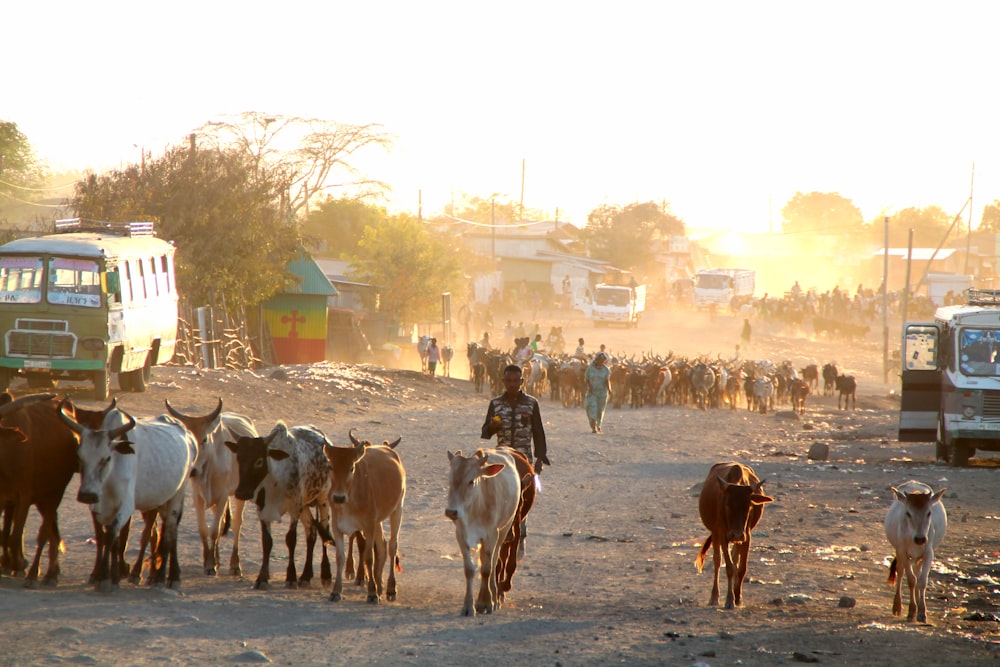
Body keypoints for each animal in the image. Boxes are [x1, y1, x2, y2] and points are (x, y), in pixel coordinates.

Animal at [61, 404, 199, 592]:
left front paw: (104, 579)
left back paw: (166, 578)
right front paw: (112, 577)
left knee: (170, 533)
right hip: (162, 500)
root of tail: (188, 435)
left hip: (177, 496)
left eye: (107, 458)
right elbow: (110, 540)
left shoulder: (125, 507)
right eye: (80, 457)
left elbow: (111, 534)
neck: (109, 477)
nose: (87, 495)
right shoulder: (99, 508)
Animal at [226, 422, 332, 588]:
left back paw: (326, 574)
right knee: (311, 533)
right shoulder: (262, 510)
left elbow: (291, 539)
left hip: (323, 500)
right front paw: (262, 578)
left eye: (259, 461)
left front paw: (291, 577)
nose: (241, 493)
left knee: (324, 531)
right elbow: (267, 541)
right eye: (239, 458)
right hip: (304, 506)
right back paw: (306, 576)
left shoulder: (294, 508)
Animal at [448, 446, 524, 620]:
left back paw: (493, 597)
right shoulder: (461, 534)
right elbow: (469, 570)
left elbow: (487, 569)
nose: (451, 512)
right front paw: (468, 607)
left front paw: (486, 603)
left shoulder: (491, 535)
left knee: (494, 561)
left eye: (471, 481)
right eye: (450, 479)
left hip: (504, 530)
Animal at [696, 462, 772, 608]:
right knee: (717, 561)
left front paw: (737, 597)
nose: (736, 534)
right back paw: (714, 597)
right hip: (716, 534)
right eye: (727, 505)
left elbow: (741, 568)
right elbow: (729, 567)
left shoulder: (746, 536)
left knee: (735, 559)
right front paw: (729, 600)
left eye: (749, 507)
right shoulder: (722, 534)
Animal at [884, 482, 944, 624]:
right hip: (900, 553)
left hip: (919, 558)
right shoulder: (903, 552)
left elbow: (922, 581)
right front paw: (911, 612)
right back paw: (897, 607)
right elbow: (911, 580)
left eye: (929, 512)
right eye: (908, 513)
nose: (920, 539)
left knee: (917, 573)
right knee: (901, 572)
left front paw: (922, 613)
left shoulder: (928, 553)